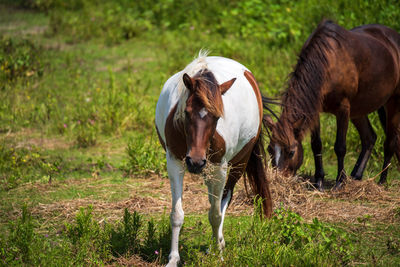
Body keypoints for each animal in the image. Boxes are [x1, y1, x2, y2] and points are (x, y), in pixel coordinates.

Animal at [155, 53, 274, 266]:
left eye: (218, 117)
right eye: (186, 112)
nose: (195, 161)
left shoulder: (219, 167)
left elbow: (215, 214)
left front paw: (218, 253)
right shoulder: (175, 162)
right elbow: (177, 214)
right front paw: (173, 259)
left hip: (237, 164)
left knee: (223, 199)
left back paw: (218, 242)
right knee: (213, 199)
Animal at [266, 21, 400, 192]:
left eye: (291, 152)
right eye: (269, 149)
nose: (277, 181)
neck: (328, 64)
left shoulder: (343, 109)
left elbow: (340, 147)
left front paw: (339, 182)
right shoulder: (314, 111)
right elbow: (316, 145)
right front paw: (319, 182)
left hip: (393, 102)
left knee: (390, 142)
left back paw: (381, 181)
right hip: (358, 110)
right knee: (369, 138)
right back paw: (356, 176)